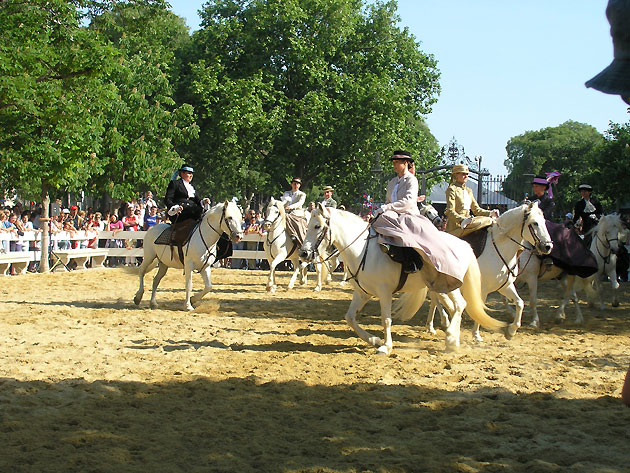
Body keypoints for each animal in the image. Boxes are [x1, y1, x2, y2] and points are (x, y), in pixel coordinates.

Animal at [298, 204, 512, 354]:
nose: (304, 253)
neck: (362, 249)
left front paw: (385, 346)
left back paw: (451, 337)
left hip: (450, 286)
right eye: (307, 226)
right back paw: (454, 339)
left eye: (317, 226)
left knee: (460, 304)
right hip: (442, 287)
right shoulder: (362, 293)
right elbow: (350, 318)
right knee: (455, 307)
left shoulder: (384, 292)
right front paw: (374, 340)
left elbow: (386, 319)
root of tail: (464, 244)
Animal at [428, 200, 556, 340]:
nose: (548, 246)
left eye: (544, 222)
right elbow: (480, 308)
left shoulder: (505, 286)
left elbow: (520, 303)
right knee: (435, 298)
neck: (499, 249)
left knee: (434, 298)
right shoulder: (482, 288)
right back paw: (442, 322)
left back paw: (434, 326)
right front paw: (476, 334)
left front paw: (511, 331)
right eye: (534, 223)